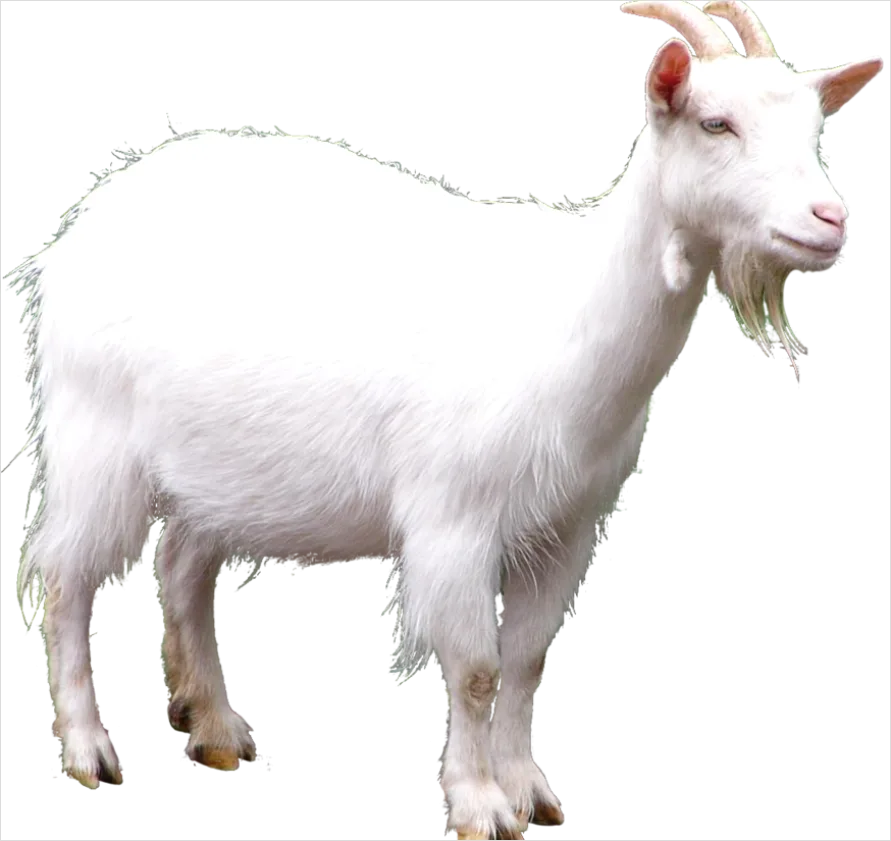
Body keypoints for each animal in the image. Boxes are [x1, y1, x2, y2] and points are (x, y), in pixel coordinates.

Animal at [12, 1, 882, 837]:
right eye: (714, 123)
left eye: (814, 130)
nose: (829, 220)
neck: (566, 312)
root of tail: (92, 217)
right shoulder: (454, 517)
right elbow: (476, 668)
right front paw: (476, 805)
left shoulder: (566, 526)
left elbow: (526, 659)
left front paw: (530, 792)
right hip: (96, 438)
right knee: (67, 575)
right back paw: (89, 751)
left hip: (215, 466)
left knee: (183, 567)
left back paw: (218, 731)